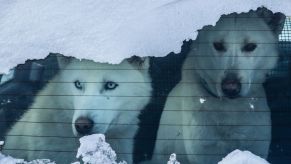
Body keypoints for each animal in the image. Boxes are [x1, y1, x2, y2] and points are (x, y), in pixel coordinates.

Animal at [145, 7, 286, 163]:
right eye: (218, 45)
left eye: (250, 46)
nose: (231, 89)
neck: (231, 109)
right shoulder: (205, 153)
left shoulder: (257, 147)